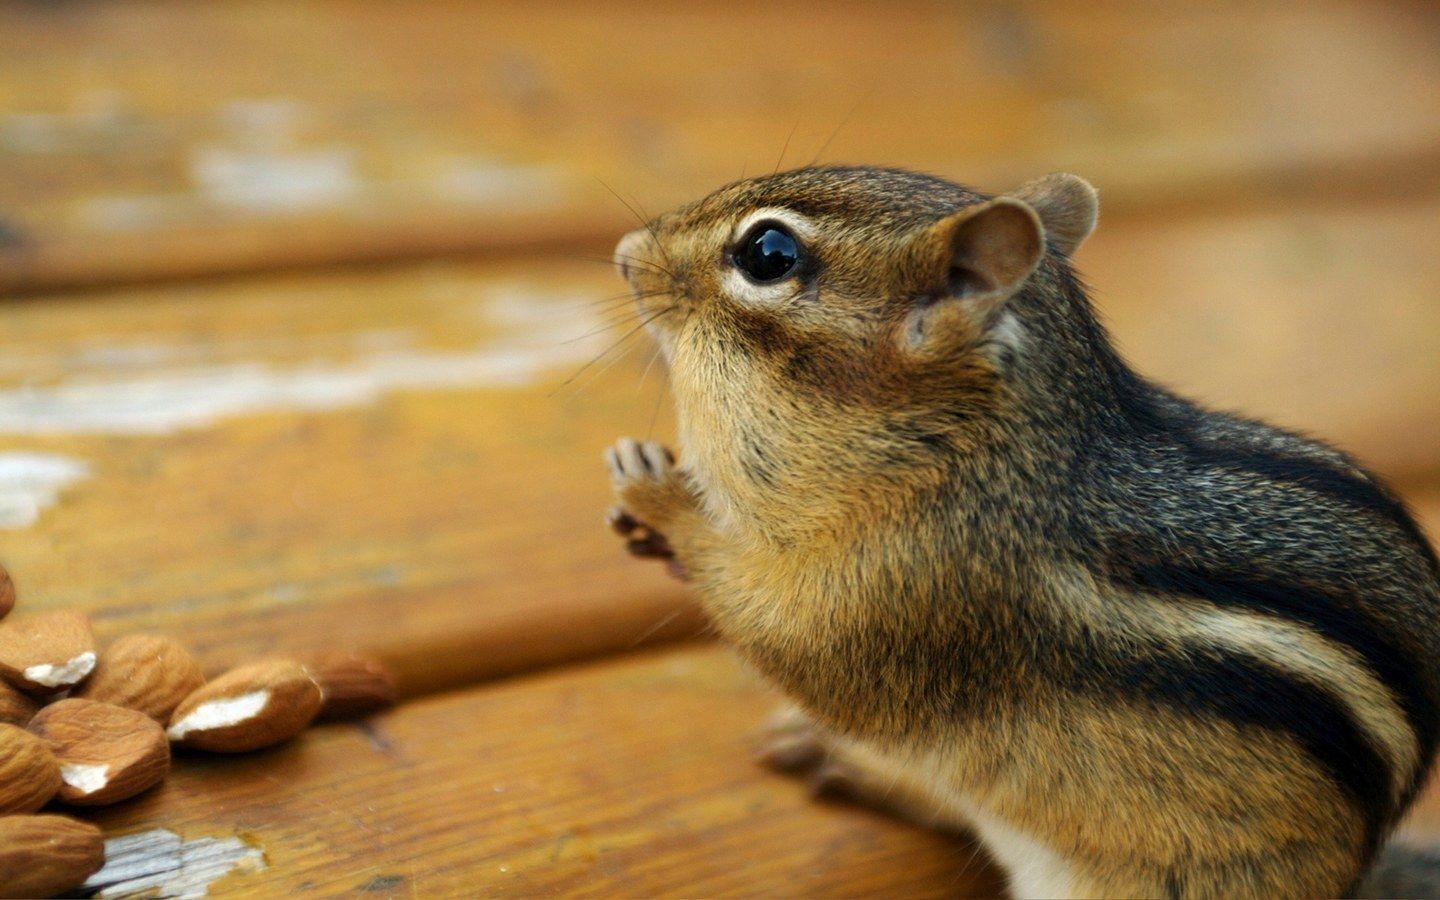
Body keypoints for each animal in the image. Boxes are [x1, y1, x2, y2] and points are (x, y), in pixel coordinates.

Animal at [601, 166, 1440, 898]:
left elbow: (780, 631)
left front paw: (661, 498)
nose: (625, 252)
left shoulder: (903, 594)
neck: (986, 455)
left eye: (768, 255)